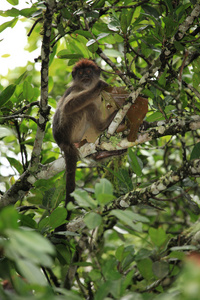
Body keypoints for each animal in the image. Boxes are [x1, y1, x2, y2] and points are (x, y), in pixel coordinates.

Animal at [52, 58, 116, 209]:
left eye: (88, 71)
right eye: (80, 73)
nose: (85, 77)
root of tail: (63, 142)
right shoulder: (75, 90)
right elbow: (67, 107)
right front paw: (98, 86)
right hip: (69, 127)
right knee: (87, 106)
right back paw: (104, 125)